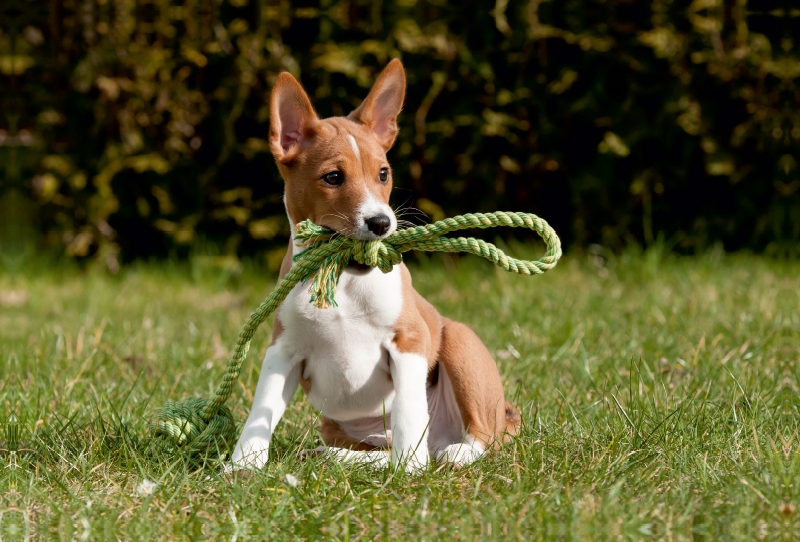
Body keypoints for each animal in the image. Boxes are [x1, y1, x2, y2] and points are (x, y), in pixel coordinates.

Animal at [230, 59, 520, 474]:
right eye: (333, 177)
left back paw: (450, 454)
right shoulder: (282, 350)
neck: (345, 276)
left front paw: (409, 470)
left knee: (482, 436)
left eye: (383, 173)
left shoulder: (409, 342)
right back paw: (338, 457)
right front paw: (241, 467)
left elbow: (409, 413)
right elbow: (261, 410)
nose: (381, 223)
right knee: (377, 450)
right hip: (336, 426)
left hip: (460, 342)